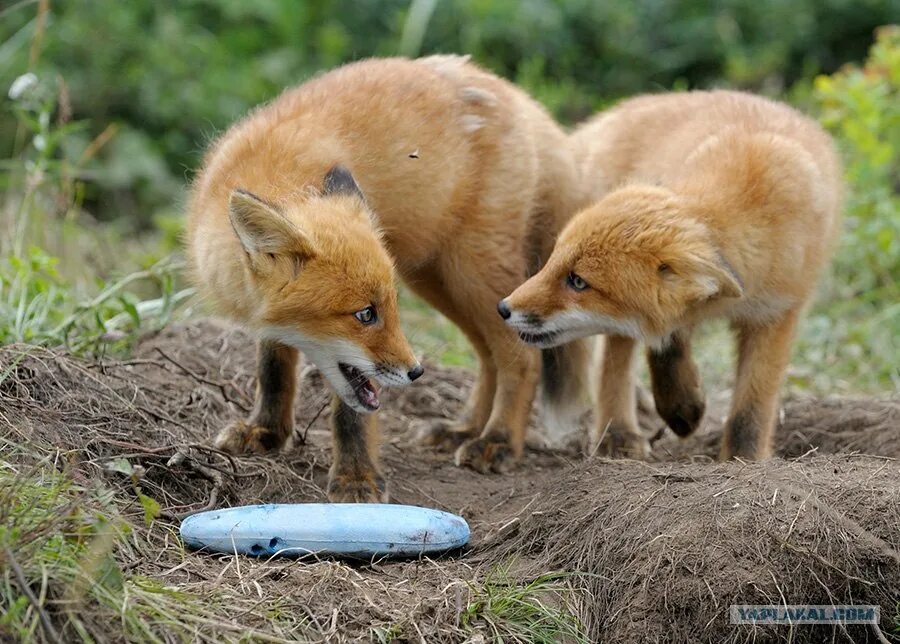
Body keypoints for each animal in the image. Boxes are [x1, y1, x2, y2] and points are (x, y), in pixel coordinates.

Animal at [185, 55, 592, 504]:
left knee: (521, 356)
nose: (416, 373)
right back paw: (464, 428)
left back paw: (498, 440)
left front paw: (356, 477)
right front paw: (266, 432)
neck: (278, 166)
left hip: (473, 270)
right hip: (435, 278)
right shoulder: (267, 315)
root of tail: (516, 94)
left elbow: (352, 413)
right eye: (366, 314)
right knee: (488, 356)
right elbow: (272, 371)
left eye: (386, 310)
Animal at [500, 92, 844, 462]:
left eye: (577, 281)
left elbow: (750, 412)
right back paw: (619, 434)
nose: (503, 308)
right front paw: (681, 409)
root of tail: (605, 118)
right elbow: (657, 351)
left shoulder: (777, 313)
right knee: (616, 364)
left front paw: (744, 460)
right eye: (552, 262)